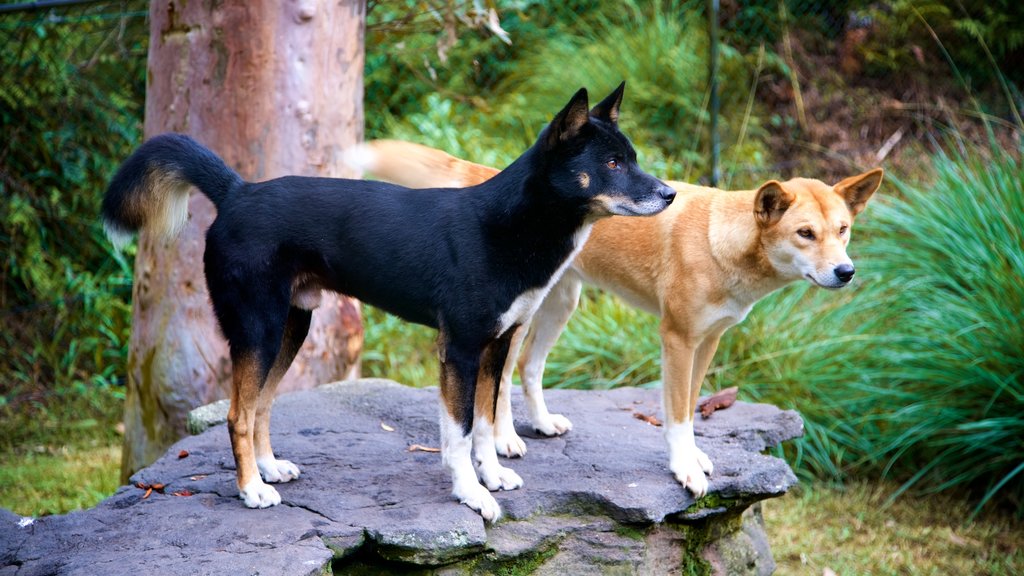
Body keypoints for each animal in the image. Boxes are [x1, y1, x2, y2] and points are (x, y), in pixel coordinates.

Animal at [103, 83, 675, 518]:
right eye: (612, 162)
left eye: (632, 158)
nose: (670, 194)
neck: (511, 224)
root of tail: (238, 191)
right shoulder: (460, 350)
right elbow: (460, 432)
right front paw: (470, 495)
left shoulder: (495, 349)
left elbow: (486, 424)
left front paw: (492, 476)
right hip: (256, 328)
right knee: (238, 414)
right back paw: (251, 490)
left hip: (290, 327)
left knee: (261, 404)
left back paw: (269, 470)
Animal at [346, 138, 880, 494]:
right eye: (805, 233)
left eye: (843, 230)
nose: (846, 272)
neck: (721, 242)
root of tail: (486, 176)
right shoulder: (676, 339)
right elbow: (677, 415)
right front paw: (684, 468)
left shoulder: (707, 342)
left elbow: (692, 406)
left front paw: (695, 456)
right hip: (518, 322)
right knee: (499, 382)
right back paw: (503, 442)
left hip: (561, 306)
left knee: (529, 370)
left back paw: (539, 424)